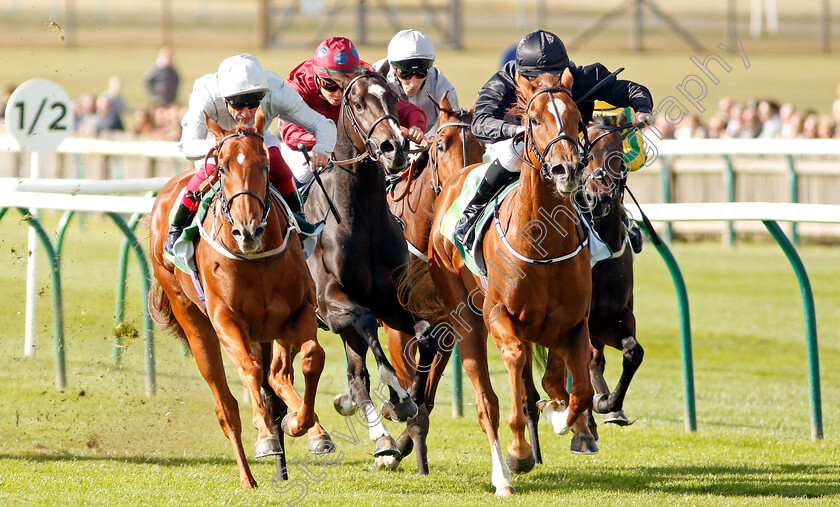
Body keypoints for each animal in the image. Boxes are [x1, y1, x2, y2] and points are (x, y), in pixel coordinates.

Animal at [146, 109, 330, 490]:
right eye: (222, 167)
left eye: (265, 165)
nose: (248, 230)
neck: (255, 260)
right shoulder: (226, 321)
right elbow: (250, 370)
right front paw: (268, 433)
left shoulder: (298, 314)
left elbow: (312, 356)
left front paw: (300, 424)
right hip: (193, 320)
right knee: (226, 406)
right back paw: (248, 476)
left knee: (278, 374)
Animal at [302, 70, 436, 464]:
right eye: (359, 104)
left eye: (393, 97)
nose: (395, 147)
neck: (360, 216)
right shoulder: (331, 304)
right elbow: (364, 319)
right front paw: (399, 399)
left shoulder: (393, 304)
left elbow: (427, 336)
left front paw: (402, 402)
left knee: (356, 376)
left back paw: (378, 433)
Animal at [382, 93, 486, 474]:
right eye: (441, 144)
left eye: (481, 145)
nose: (463, 185)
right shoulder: (396, 330)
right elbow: (407, 385)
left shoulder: (447, 326)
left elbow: (425, 396)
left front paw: (405, 447)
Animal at [406, 70, 596, 496]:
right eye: (533, 120)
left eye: (577, 118)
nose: (567, 169)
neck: (543, 240)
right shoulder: (499, 316)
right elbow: (513, 363)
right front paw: (519, 452)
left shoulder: (574, 324)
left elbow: (580, 390)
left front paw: (561, 416)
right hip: (464, 318)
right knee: (486, 402)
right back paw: (502, 476)